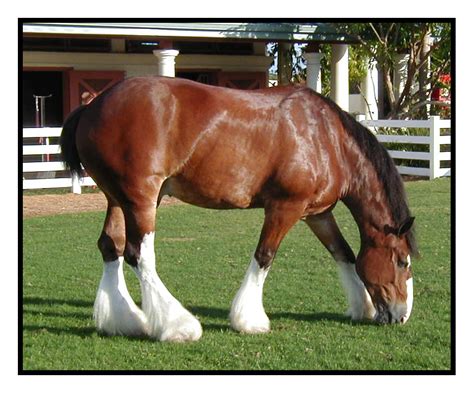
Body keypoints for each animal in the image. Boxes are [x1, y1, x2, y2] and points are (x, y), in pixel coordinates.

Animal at [60, 76, 418, 340]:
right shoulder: (285, 208)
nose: (401, 316)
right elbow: (264, 256)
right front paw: (250, 320)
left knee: (112, 246)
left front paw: (362, 306)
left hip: (118, 199)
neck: (325, 138)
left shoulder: (317, 213)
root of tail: (92, 106)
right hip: (141, 199)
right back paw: (178, 326)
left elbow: (344, 253)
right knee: (138, 254)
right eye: (402, 261)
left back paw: (124, 320)